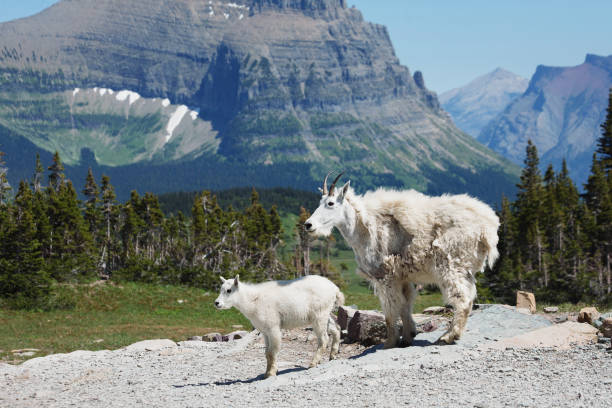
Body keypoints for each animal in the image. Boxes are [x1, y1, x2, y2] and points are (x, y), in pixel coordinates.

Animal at [214, 276, 344, 378]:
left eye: (229, 290)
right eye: (221, 289)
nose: (216, 303)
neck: (252, 301)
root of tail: (335, 289)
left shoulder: (273, 328)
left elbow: (272, 352)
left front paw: (271, 373)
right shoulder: (265, 331)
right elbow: (267, 353)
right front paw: (266, 372)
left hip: (319, 315)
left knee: (324, 339)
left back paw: (313, 363)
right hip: (325, 314)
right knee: (336, 329)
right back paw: (333, 355)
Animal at [304, 174, 500, 350]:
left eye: (330, 203)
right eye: (319, 202)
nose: (308, 225)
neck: (363, 227)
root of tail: (488, 228)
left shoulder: (384, 276)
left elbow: (390, 311)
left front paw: (389, 343)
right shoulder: (402, 277)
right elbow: (405, 305)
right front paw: (407, 337)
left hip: (452, 265)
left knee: (462, 299)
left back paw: (449, 336)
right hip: (465, 269)